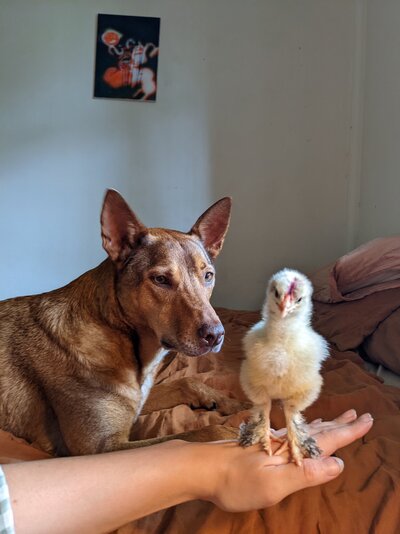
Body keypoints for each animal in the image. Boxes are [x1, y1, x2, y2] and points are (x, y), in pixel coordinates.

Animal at [0, 190, 241, 456]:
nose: (216, 336)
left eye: (208, 276)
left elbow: (186, 381)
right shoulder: (102, 446)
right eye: (160, 279)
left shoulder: (137, 402)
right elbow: (202, 433)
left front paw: (232, 402)